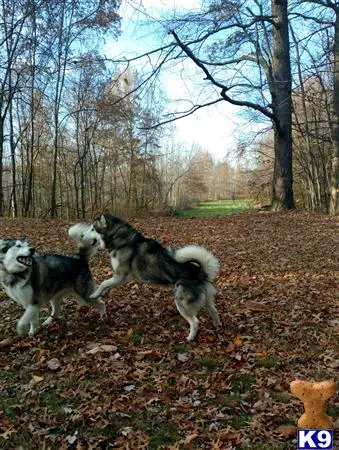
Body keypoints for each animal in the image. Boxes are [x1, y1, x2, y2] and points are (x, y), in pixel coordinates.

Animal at [81, 213, 220, 340]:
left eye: (92, 229)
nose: (81, 235)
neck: (118, 238)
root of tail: (201, 272)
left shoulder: (120, 276)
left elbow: (103, 282)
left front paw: (94, 294)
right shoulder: (121, 278)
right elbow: (106, 285)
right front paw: (101, 293)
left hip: (181, 303)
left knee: (195, 321)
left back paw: (190, 337)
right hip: (206, 301)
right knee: (214, 311)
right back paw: (217, 325)